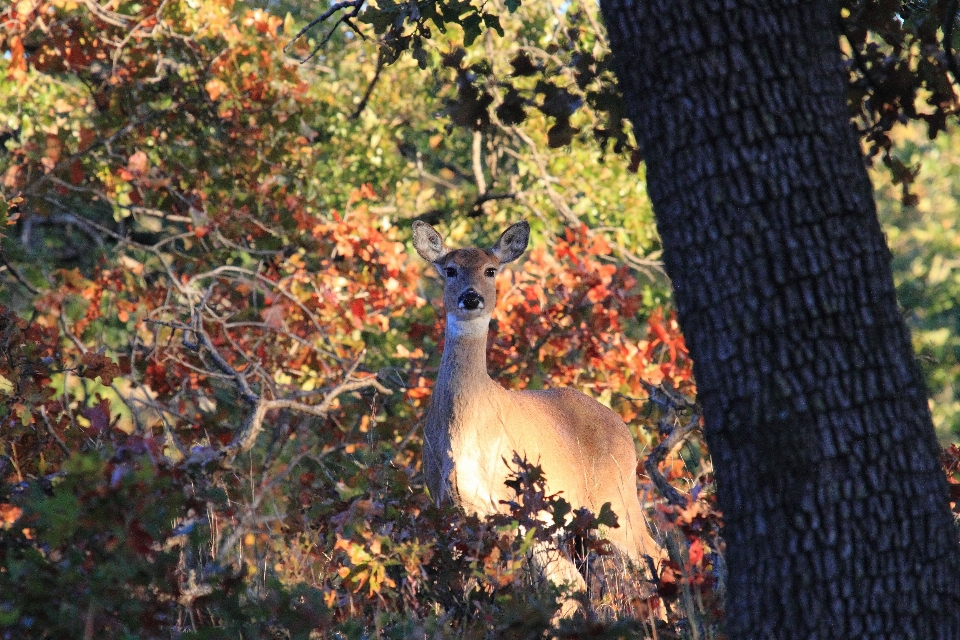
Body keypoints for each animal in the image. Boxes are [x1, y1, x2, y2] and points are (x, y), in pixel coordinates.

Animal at [408, 220, 664, 616]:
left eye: (490, 270)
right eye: (449, 270)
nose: (471, 297)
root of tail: (625, 430)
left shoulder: (507, 501)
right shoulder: (448, 503)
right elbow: (464, 582)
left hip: (614, 495)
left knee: (650, 552)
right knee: (576, 579)